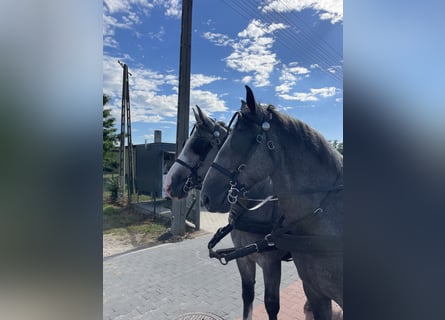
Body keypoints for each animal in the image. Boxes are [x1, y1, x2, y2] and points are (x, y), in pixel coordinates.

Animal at [163, 107, 292, 320]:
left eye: (198, 145)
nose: (168, 184)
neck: (254, 207)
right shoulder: (243, 258)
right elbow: (247, 295)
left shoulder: (271, 263)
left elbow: (271, 305)